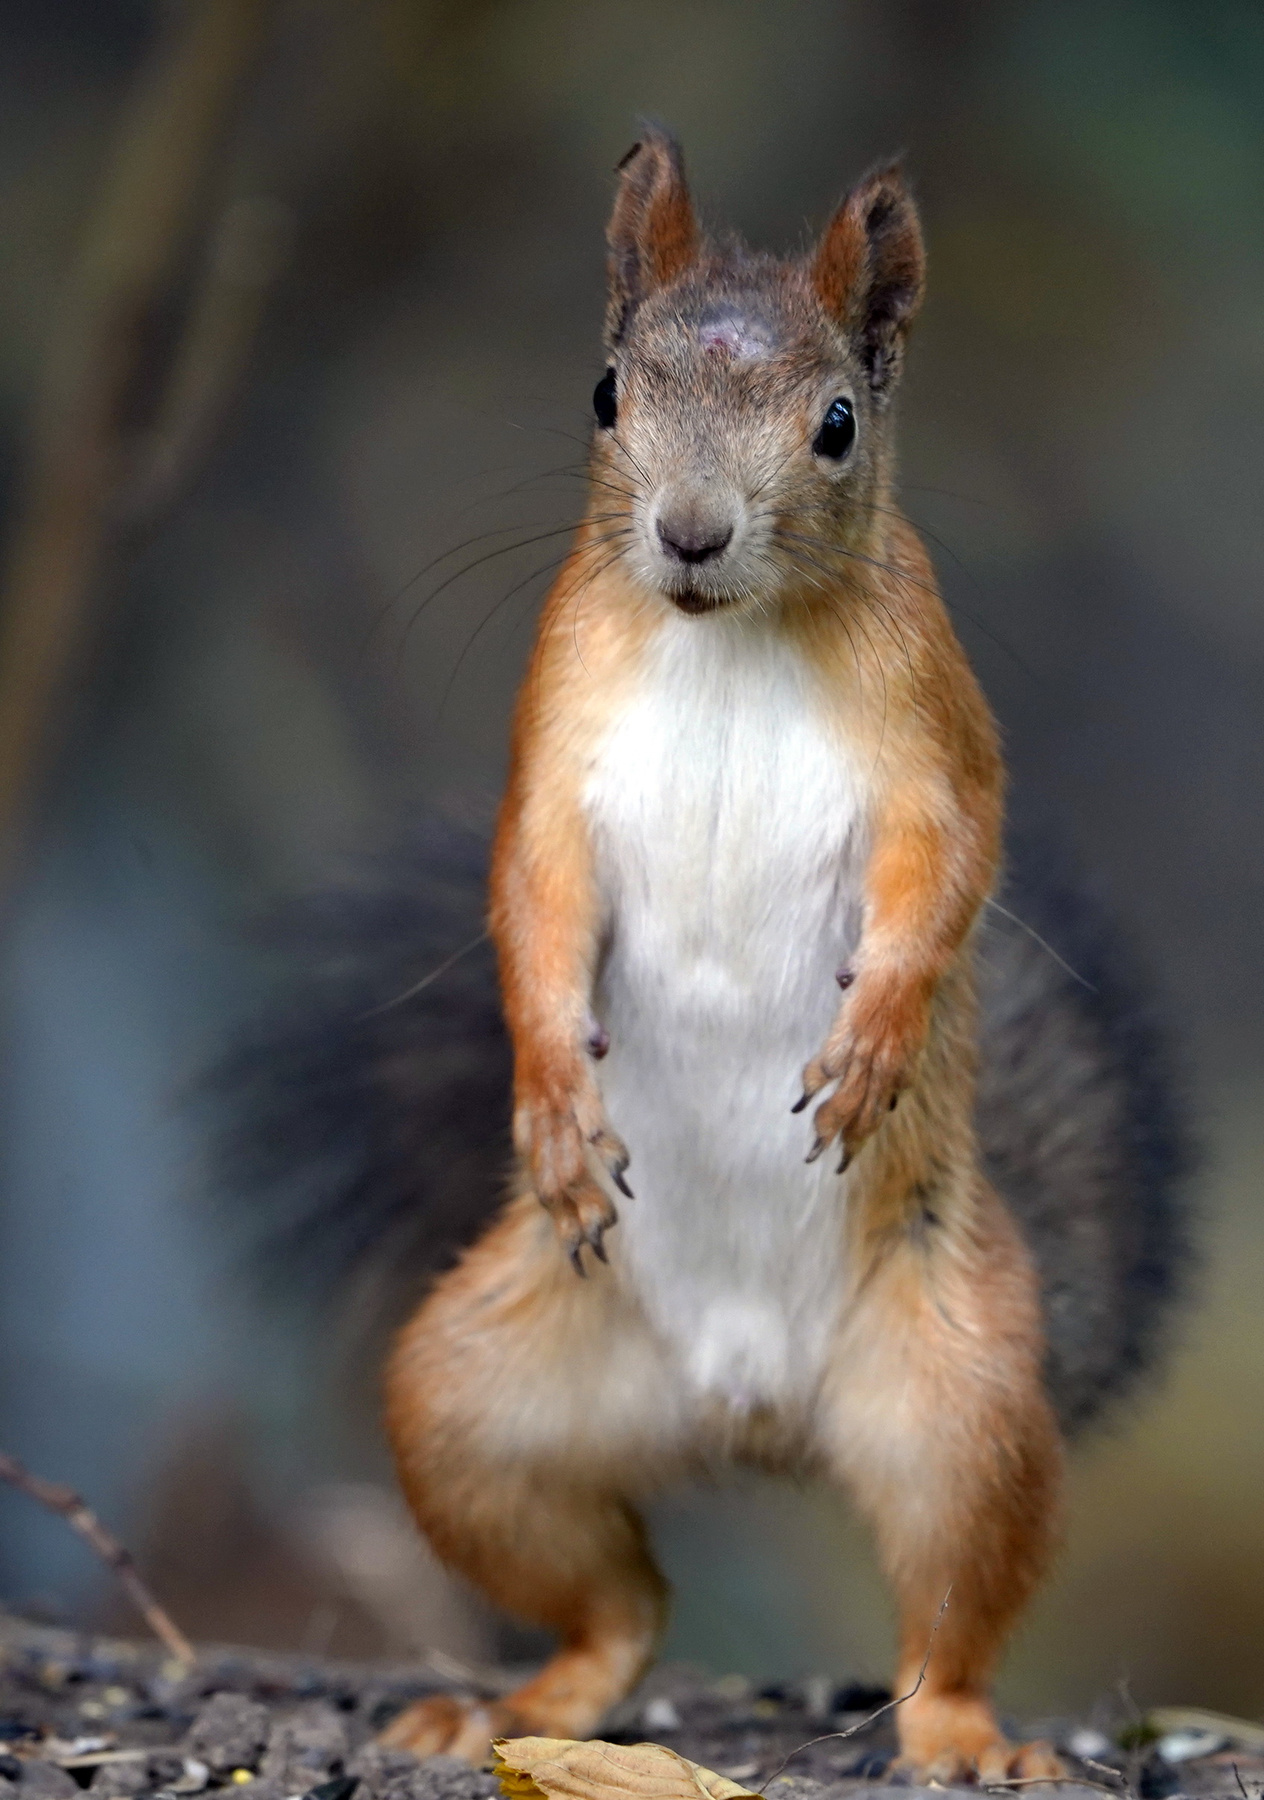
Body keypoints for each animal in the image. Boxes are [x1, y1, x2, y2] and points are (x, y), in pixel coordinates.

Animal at [210, 134, 1193, 1782]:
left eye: (839, 424)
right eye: (607, 392)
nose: (687, 532)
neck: (729, 637)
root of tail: (750, 1411)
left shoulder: (934, 743)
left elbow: (943, 877)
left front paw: (874, 1042)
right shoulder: (553, 753)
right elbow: (533, 901)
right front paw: (554, 1097)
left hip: (966, 1405)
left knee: (947, 1616)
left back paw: (963, 1734)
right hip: (473, 1401)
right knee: (616, 1599)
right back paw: (518, 1707)